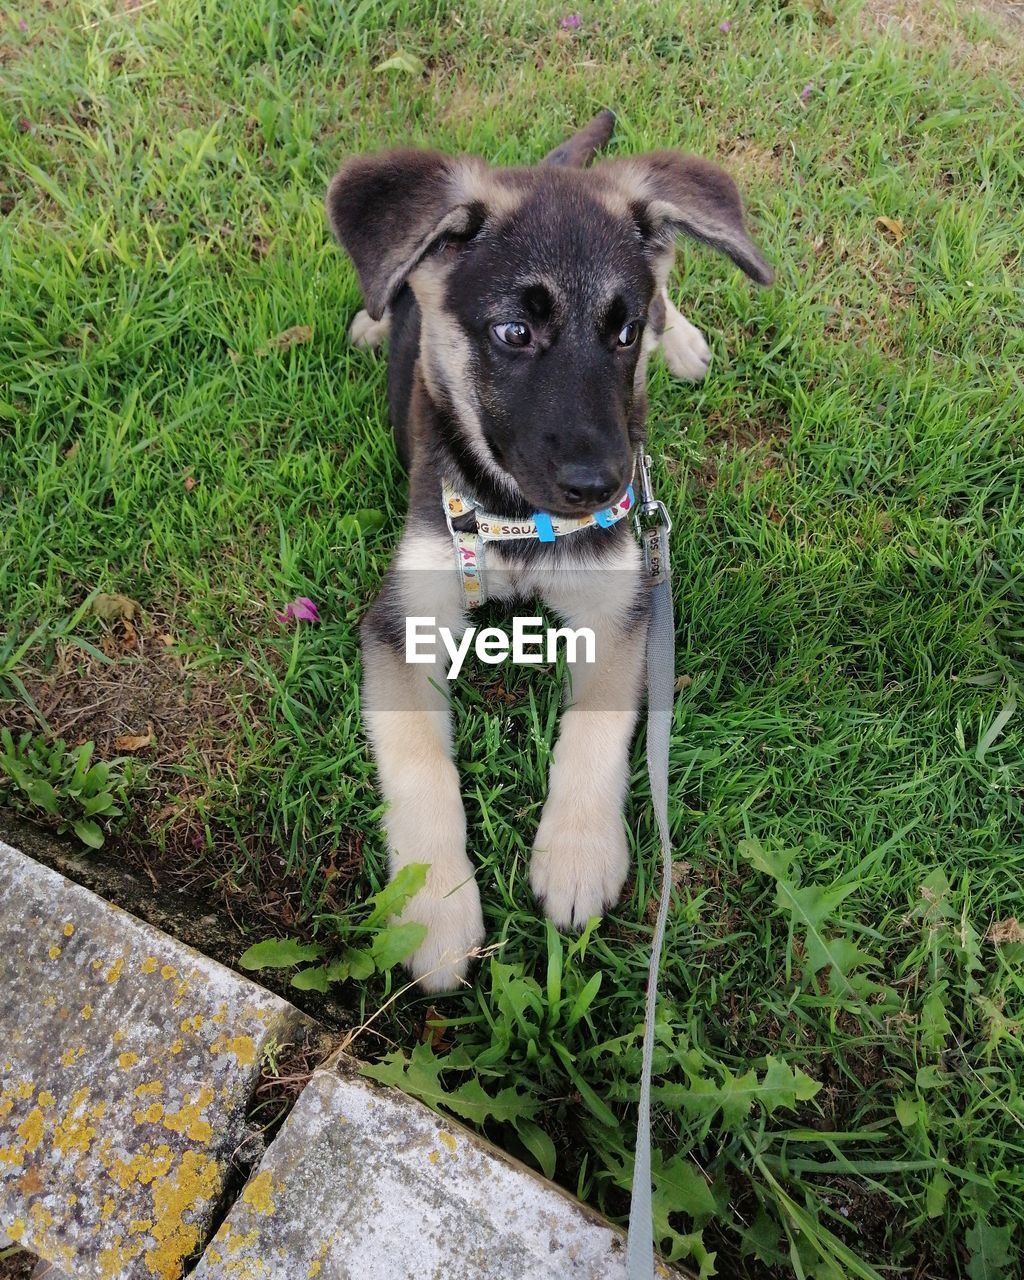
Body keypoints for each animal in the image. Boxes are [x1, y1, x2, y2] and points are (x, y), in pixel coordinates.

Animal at [326, 112, 768, 988]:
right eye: (514, 331)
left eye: (620, 333)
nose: (603, 487)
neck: (516, 521)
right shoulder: (403, 622)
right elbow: (420, 764)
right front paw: (433, 907)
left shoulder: (622, 608)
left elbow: (595, 732)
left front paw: (577, 854)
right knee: (390, 285)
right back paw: (373, 312)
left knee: (670, 279)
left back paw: (685, 341)